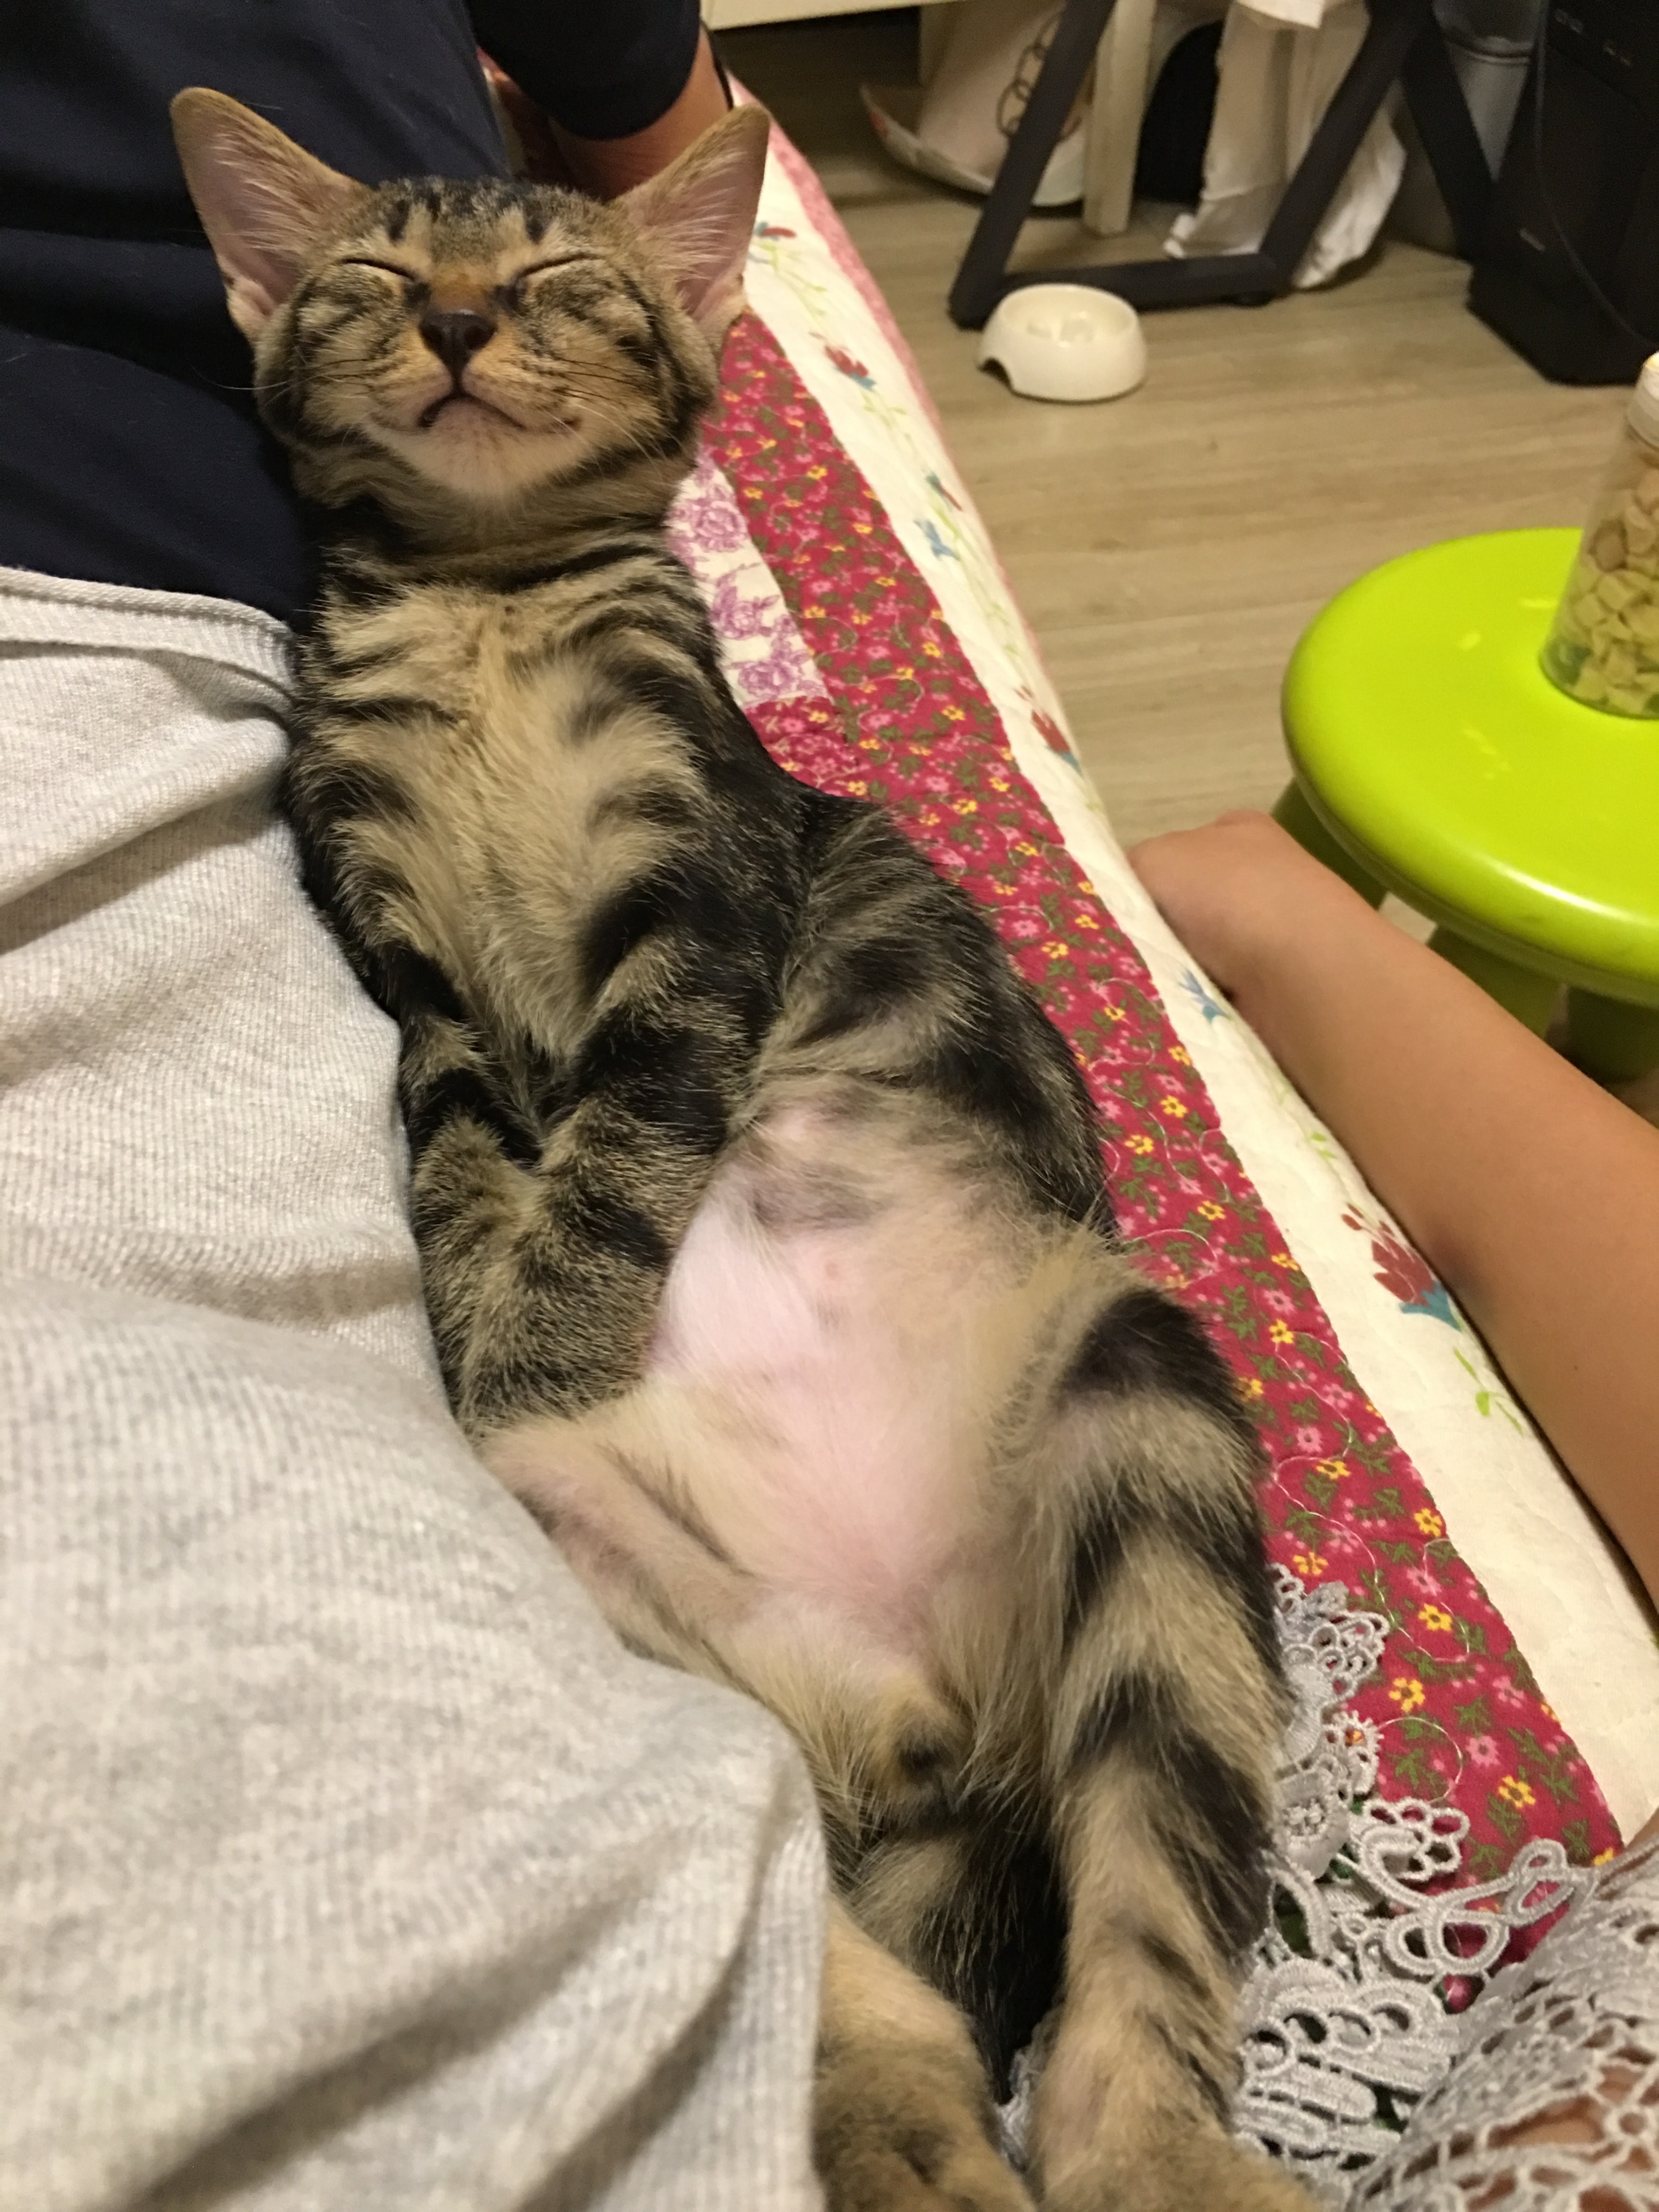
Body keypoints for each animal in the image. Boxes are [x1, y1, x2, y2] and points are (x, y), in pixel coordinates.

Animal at [172, 88, 1307, 2212]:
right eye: (374, 270)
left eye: (557, 274)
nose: (456, 321)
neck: (488, 601)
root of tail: (930, 1681)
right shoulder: (410, 964)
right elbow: (468, 1162)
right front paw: (498, 1327)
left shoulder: (701, 895)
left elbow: (625, 1129)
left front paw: (543, 1331)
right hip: (620, 1609)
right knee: (839, 1926)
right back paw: (897, 2119)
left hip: (1146, 1419)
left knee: (1140, 1931)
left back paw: (1152, 2151)